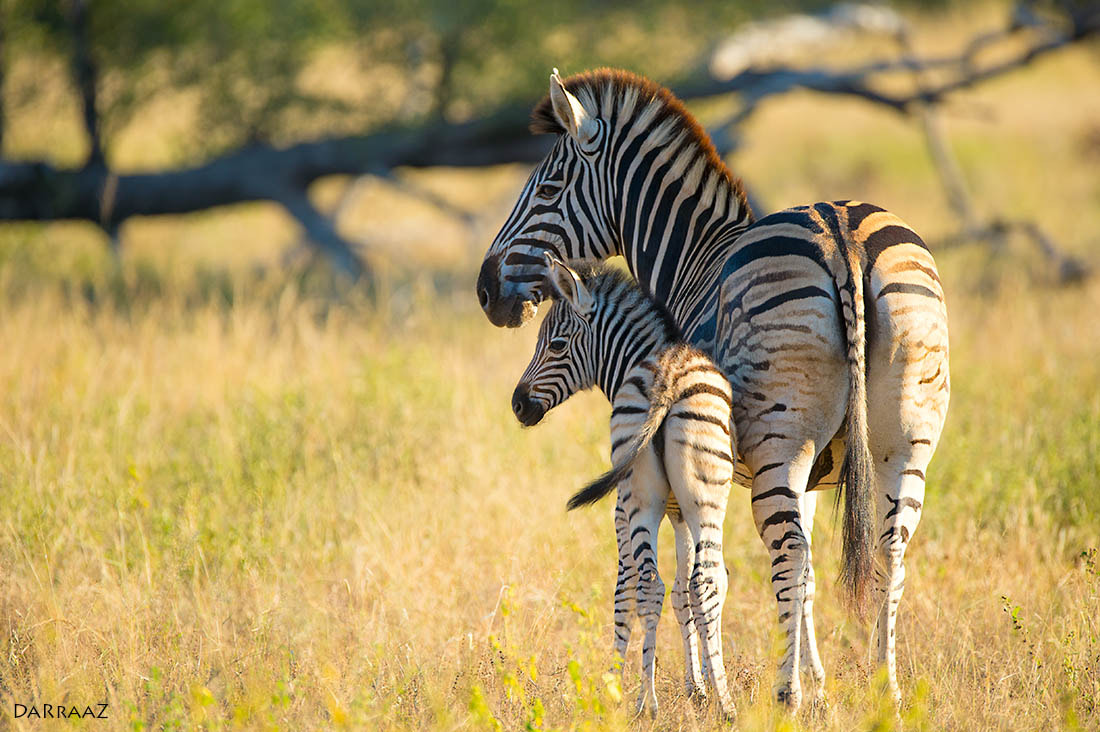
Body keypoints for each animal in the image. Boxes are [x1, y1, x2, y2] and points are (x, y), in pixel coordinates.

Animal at [510, 254, 734, 717]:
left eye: (556, 345)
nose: (517, 405)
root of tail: (667, 377)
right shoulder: (677, 512)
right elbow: (686, 590)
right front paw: (699, 686)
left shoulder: (644, 509)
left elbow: (647, 591)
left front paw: (626, 684)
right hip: (697, 500)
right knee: (697, 583)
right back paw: (721, 703)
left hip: (641, 500)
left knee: (651, 585)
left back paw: (648, 702)